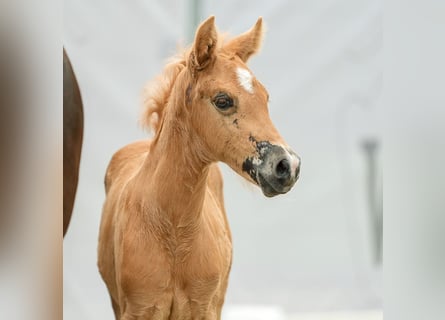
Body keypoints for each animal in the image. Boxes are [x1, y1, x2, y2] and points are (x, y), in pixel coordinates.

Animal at [97, 16, 298, 318]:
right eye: (223, 100)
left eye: (265, 98)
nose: (287, 165)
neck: (175, 232)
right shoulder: (140, 308)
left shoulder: (203, 308)